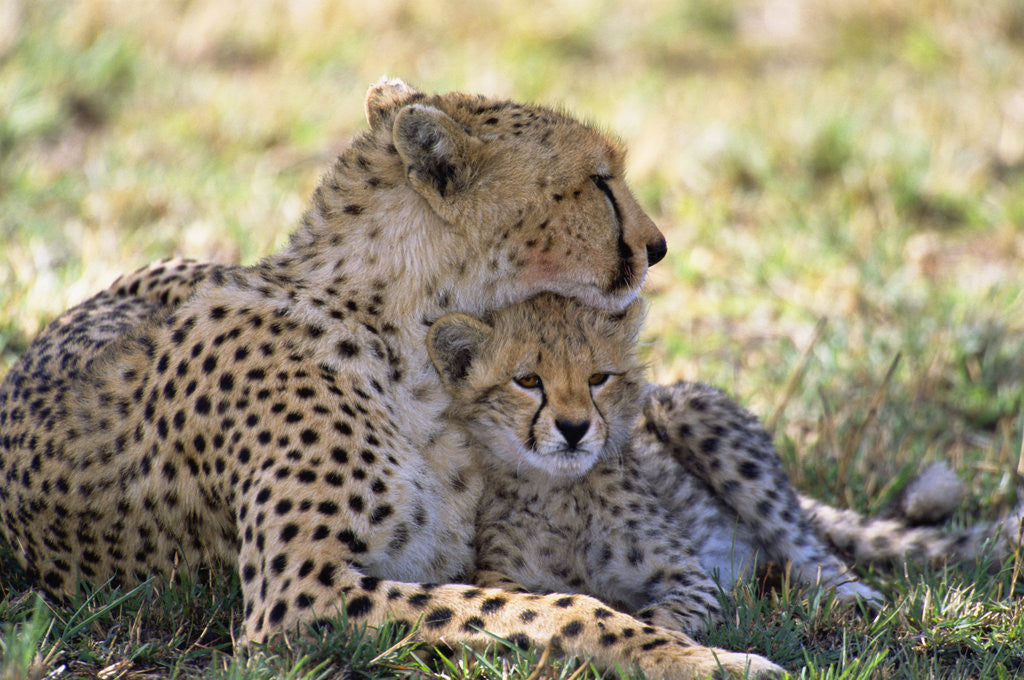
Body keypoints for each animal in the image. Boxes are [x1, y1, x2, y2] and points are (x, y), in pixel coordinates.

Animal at [0, 79, 790, 679]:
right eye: (598, 182)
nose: (658, 248)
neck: (405, 336)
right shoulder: (296, 599)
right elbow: (551, 609)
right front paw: (702, 659)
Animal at [427, 293, 1024, 659]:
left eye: (599, 378)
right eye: (527, 380)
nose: (574, 429)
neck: (558, 491)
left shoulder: (689, 577)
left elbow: (658, 616)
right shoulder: (505, 583)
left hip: (696, 415)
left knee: (806, 546)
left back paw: (852, 598)